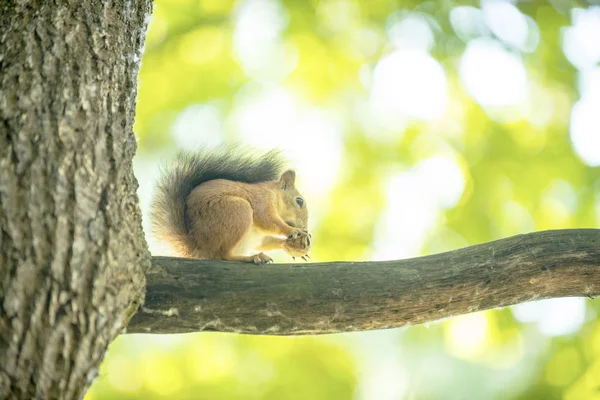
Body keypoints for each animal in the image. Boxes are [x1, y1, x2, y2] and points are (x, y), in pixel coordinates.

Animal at [150, 146, 312, 262]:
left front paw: (290, 245)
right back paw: (251, 257)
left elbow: (263, 242)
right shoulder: (262, 199)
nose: (305, 228)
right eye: (299, 201)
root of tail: (200, 247)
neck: (275, 195)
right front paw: (293, 231)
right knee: (223, 255)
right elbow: (267, 219)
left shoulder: (257, 237)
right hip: (238, 211)